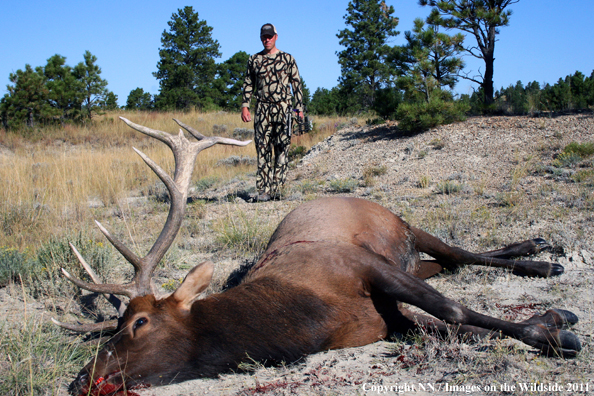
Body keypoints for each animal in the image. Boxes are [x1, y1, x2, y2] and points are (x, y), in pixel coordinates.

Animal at [59, 117, 580, 396]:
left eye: (139, 323)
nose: (81, 378)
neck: (308, 318)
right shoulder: (386, 320)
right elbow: (456, 329)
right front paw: (547, 323)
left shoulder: (364, 266)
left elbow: (452, 310)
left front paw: (553, 327)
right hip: (414, 258)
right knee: (452, 263)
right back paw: (539, 253)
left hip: (404, 225)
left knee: (457, 251)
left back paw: (542, 257)